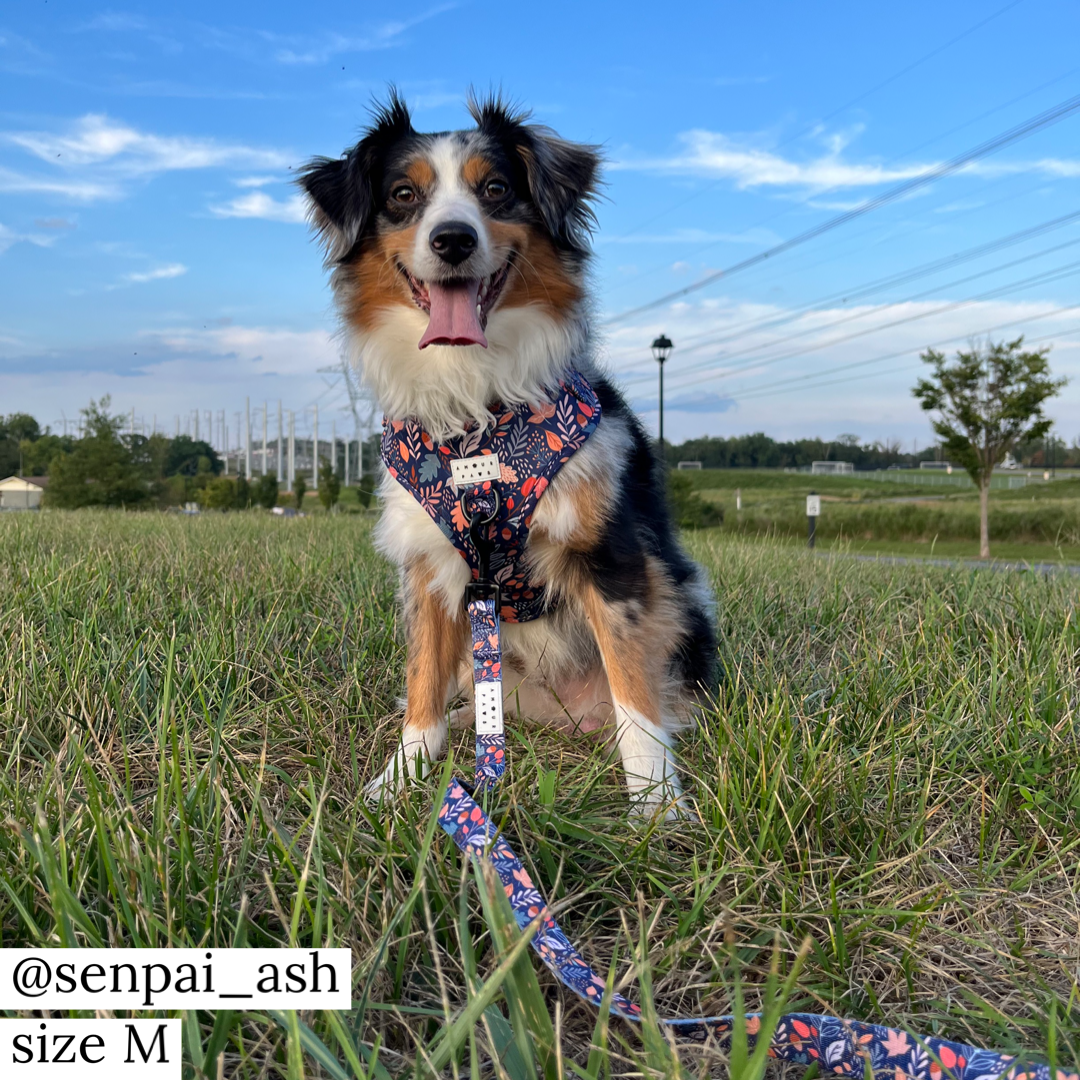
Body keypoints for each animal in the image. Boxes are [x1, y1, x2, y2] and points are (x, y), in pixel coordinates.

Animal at [300, 95, 717, 816]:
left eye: (495, 189)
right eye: (403, 195)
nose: (453, 240)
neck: (477, 420)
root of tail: (566, 716)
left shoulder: (612, 556)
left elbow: (635, 693)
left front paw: (657, 803)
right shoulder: (428, 566)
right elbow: (423, 681)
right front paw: (400, 778)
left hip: (685, 594)